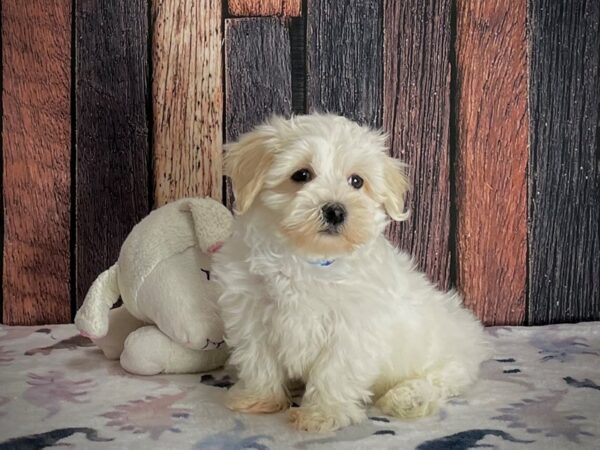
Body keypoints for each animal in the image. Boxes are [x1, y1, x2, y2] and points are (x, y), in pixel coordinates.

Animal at [213, 113, 490, 432]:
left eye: (356, 181)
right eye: (302, 175)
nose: (335, 210)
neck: (307, 256)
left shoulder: (351, 327)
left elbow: (333, 371)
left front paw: (323, 414)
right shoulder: (251, 314)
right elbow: (258, 361)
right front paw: (259, 399)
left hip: (446, 354)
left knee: (439, 380)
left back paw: (408, 398)